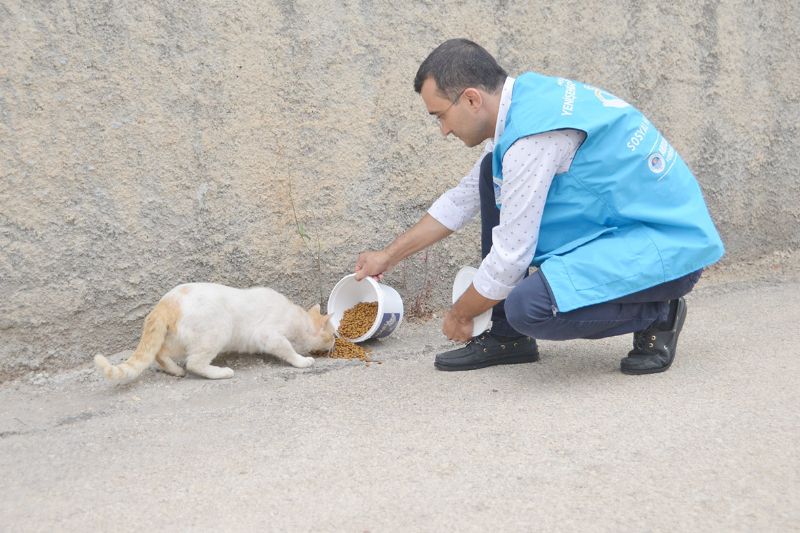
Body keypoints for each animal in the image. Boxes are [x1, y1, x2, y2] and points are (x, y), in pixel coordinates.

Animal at [95, 282, 336, 382]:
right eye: (333, 335)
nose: (335, 342)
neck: (300, 320)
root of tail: (164, 303)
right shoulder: (269, 335)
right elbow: (287, 349)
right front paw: (302, 360)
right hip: (217, 332)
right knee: (194, 363)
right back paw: (221, 372)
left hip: (179, 340)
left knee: (159, 354)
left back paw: (175, 371)